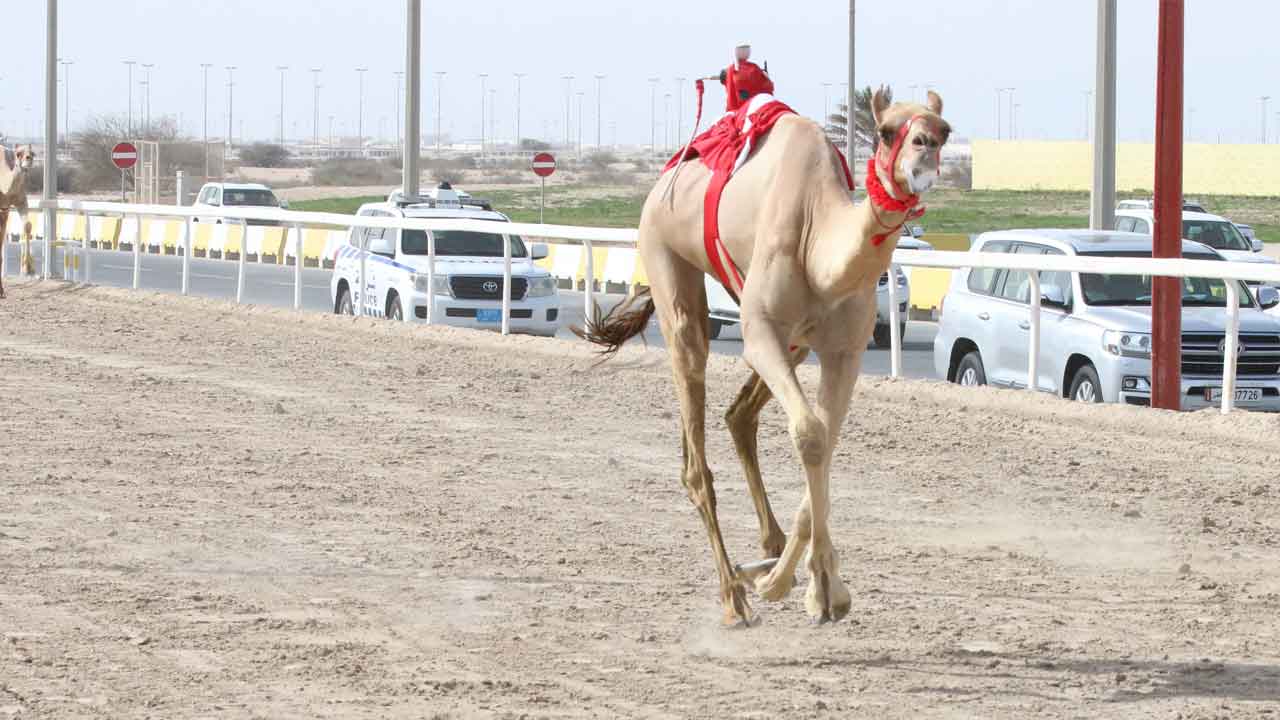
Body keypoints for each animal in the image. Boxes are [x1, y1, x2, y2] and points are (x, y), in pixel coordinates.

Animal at [577, 89, 949, 626]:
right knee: (695, 452)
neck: (817, 243)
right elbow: (810, 433)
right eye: (886, 131)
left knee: (737, 417)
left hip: (794, 346)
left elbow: (823, 442)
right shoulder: (762, 333)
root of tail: (662, 183)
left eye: (945, 130)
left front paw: (805, 584)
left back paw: (768, 555)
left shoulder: (844, 351)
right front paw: (813, 587)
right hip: (668, 261)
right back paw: (734, 596)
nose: (925, 151)